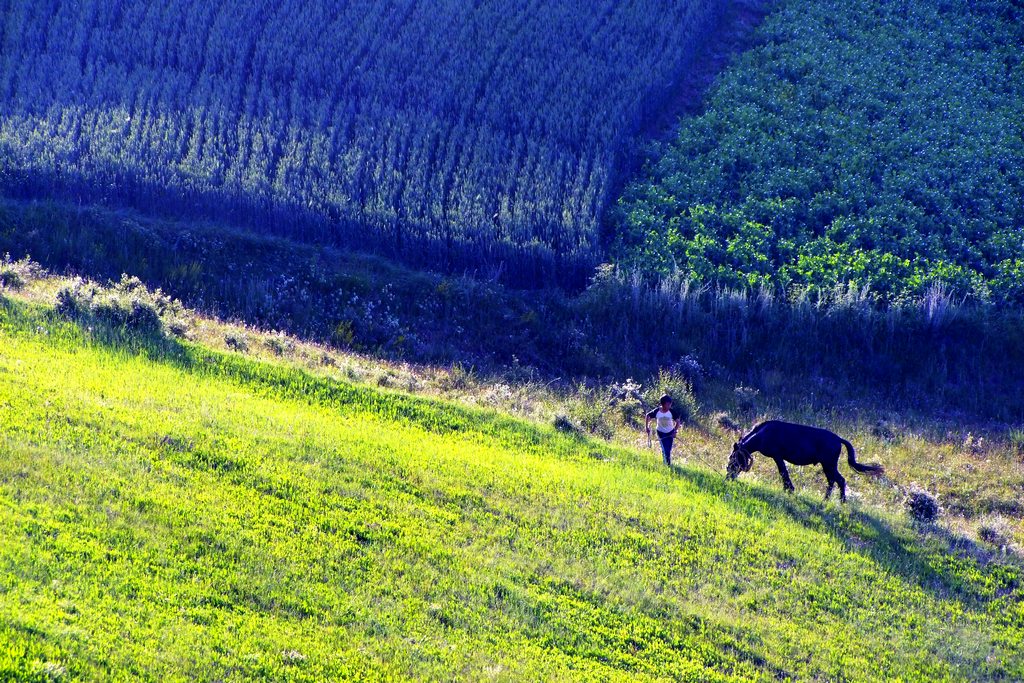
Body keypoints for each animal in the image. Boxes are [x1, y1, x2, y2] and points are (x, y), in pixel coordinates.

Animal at [724, 419, 884, 499]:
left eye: (732, 459)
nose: (728, 477)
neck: (763, 434)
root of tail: (839, 439)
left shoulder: (777, 456)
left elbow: (783, 472)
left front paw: (789, 489)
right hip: (827, 466)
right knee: (833, 481)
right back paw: (827, 500)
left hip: (829, 464)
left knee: (839, 480)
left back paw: (840, 501)